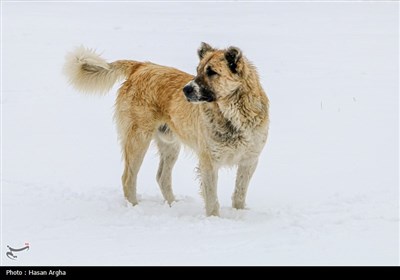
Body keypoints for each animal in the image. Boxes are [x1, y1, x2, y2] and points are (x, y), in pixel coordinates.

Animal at [63, 42, 268, 215]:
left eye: (212, 72)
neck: (232, 116)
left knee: (162, 177)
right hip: (138, 139)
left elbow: (239, 194)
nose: (185, 90)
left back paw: (172, 205)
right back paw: (134, 208)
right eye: (198, 70)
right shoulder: (208, 162)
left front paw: (239, 216)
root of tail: (141, 66)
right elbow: (212, 200)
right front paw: (214, 220)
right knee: (128, 178)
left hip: (169, 145)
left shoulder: (250, 160)